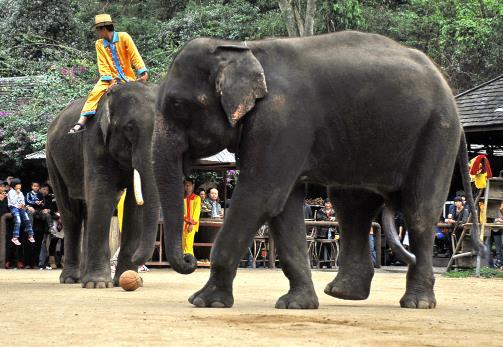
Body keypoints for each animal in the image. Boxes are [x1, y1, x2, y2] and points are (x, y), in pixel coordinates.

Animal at [46, 81, 159, 288]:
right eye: (129, 128)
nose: (142, 266)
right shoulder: (94, 141)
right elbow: (102, 194)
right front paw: (97, 284)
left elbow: (134, 206)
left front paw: (125, 280)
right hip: (52, 159)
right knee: (71, 213)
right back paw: (71, 279)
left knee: (88, 211)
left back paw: (82, 278)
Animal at [151, 31, 484, 310]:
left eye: (178, 105)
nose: (190, 260)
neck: (243, 48)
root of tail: (449, 91)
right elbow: (282, 207)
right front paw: (296, 304)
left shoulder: (282, 120)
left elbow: (261, 196)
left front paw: (203, 301)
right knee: (352, 207)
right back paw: (343, 293)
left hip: (437, 132)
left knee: (418, 212)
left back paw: (416, 303)